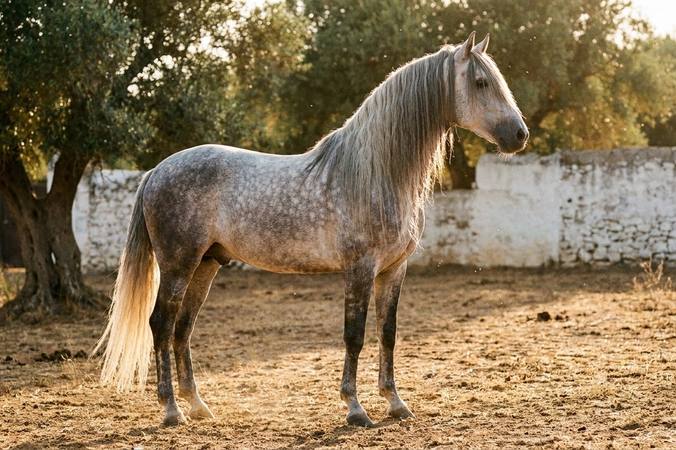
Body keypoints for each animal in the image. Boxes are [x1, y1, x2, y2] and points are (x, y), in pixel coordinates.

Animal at [95, 31, 528, 428]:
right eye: (480, 82)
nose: (520, 135)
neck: (375, 172)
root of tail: (156, 171)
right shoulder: (360, 269)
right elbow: (354, 335)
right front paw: (355, 409)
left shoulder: (394, 270)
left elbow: (387, 334)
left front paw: (396, 404)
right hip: (178, 264)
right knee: (161, 325)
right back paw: (172, 411)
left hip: (206, 264)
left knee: (183, 328)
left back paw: (198, 406)